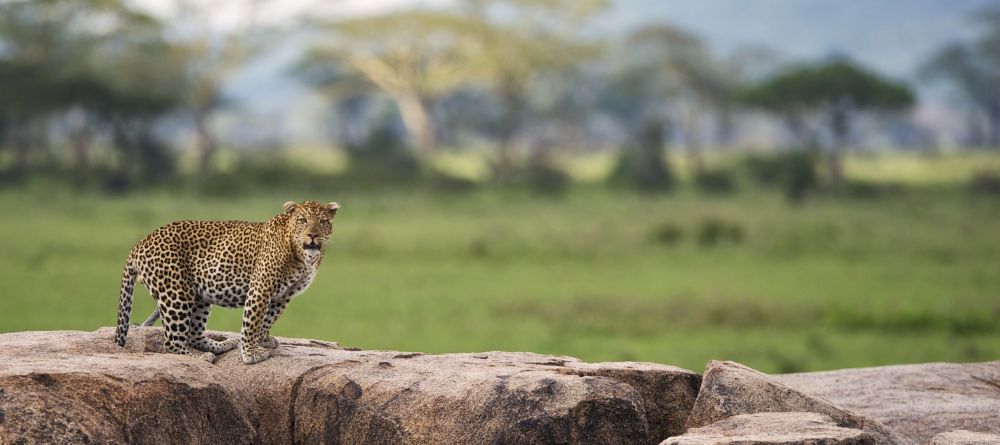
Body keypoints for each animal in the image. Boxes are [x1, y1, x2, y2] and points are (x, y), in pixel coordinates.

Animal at [114, 200, 340, 364]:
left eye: (322, 222)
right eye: (302, 220)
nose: (313, 235)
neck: (303, 257)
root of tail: (140, 244)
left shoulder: (283, 295)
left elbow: (267, 319)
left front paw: (263, 340)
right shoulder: (260, 287)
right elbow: (252, 322)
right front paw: (250, 352)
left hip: (200, 296)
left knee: (194, 334)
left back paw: (222, 345)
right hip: (176, 293)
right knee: (171, 342)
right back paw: (199, 358)